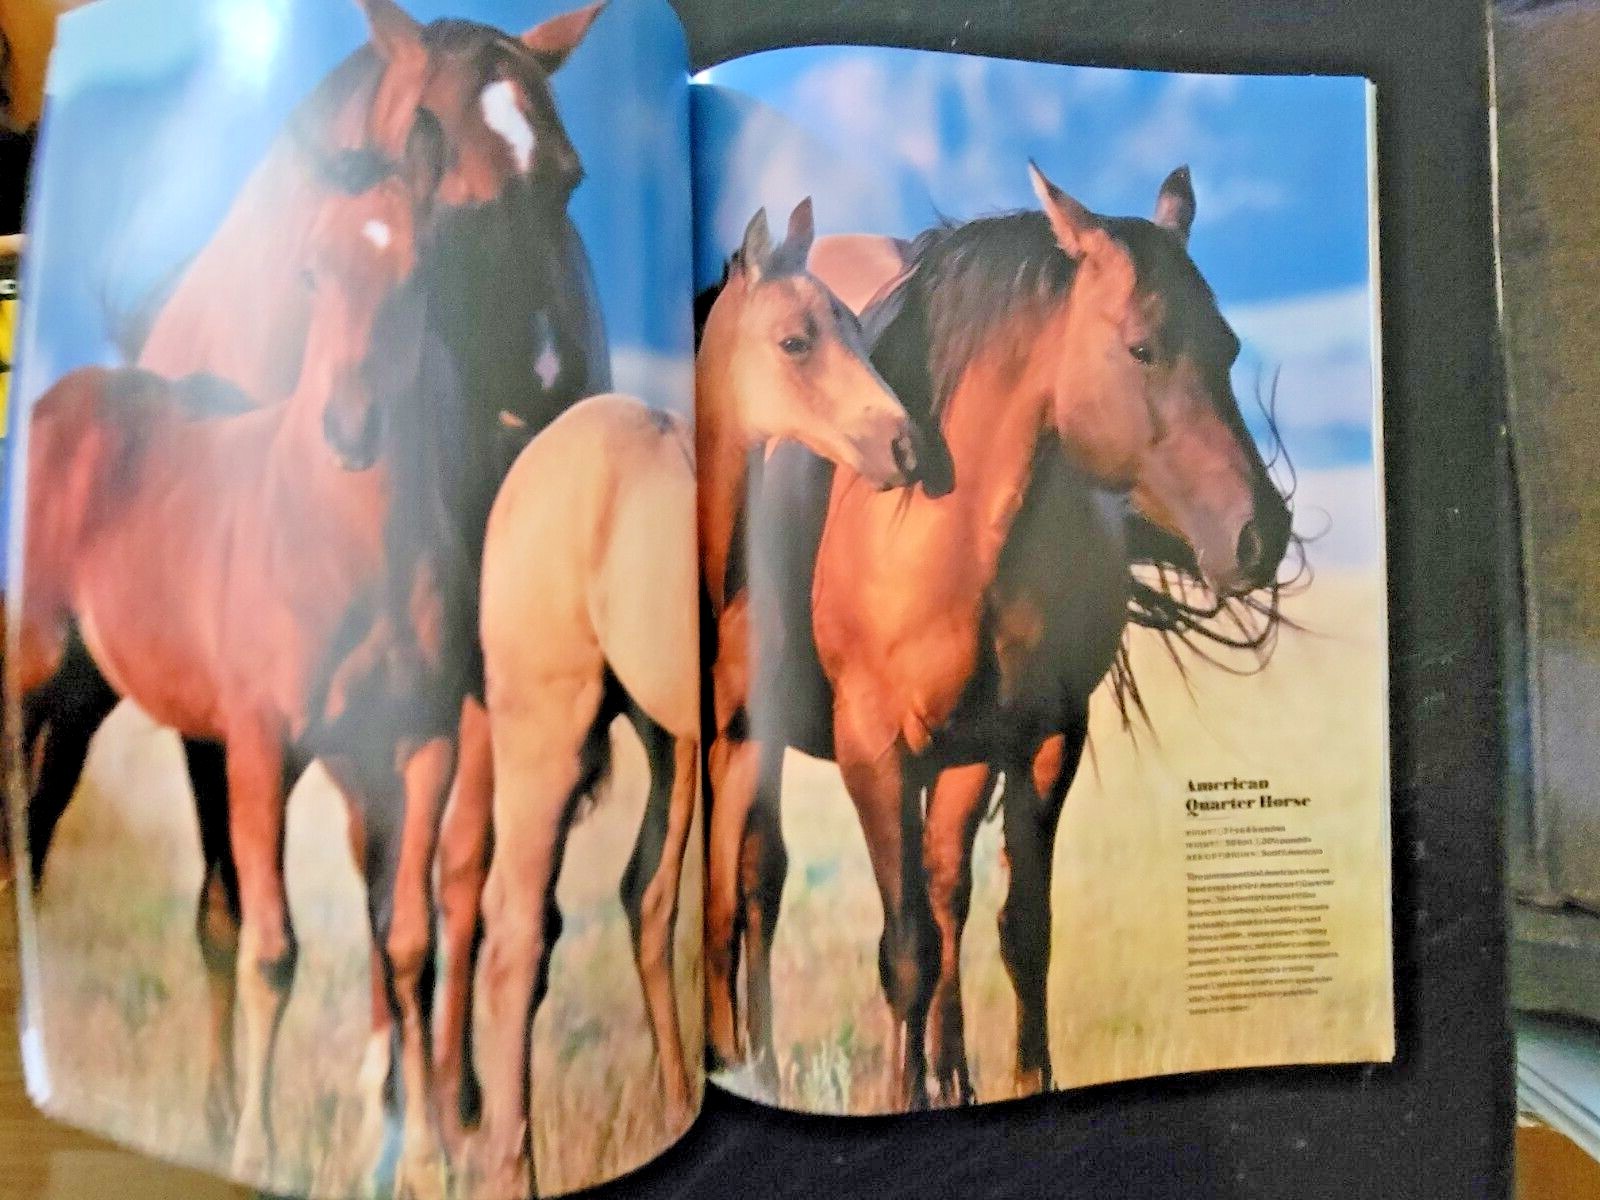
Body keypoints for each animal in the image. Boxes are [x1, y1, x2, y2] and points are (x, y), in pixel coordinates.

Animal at [12, 0, 610, 1171]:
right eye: (445, 173)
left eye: (569, 179)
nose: (549, 396)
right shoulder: (243, 724)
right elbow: (251, 920)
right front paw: (260, 1126)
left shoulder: (441, 708)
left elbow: (430, 903)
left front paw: (432, 1121)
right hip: (71, 681)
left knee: (455, 886)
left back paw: (448, 1098)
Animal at [464, 200, 919, 1196]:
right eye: (795, 341)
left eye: (856, 326)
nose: (907, 445)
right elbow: (727, 902)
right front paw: (738, 1059)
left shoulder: (740, 742)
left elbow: (724, 906)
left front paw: (740, 1064)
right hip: (544, 731)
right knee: (514, 929)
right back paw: (510, 1162)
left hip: (664, 744)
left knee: (644, 898)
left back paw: (674, 1096)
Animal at [708, 163, 1295, 1109]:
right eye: (1141, 349)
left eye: (1231, 347)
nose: (1258, 536)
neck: (947, 534)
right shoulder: (875, 750)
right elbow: (905, 948)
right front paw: (900, 1098)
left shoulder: (1042, 742)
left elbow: (1021, 931)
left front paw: (1023, 1081)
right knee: (761, 882)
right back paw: (757, 1062)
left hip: (961, 758)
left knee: (945, 886)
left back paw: (951, 1076)